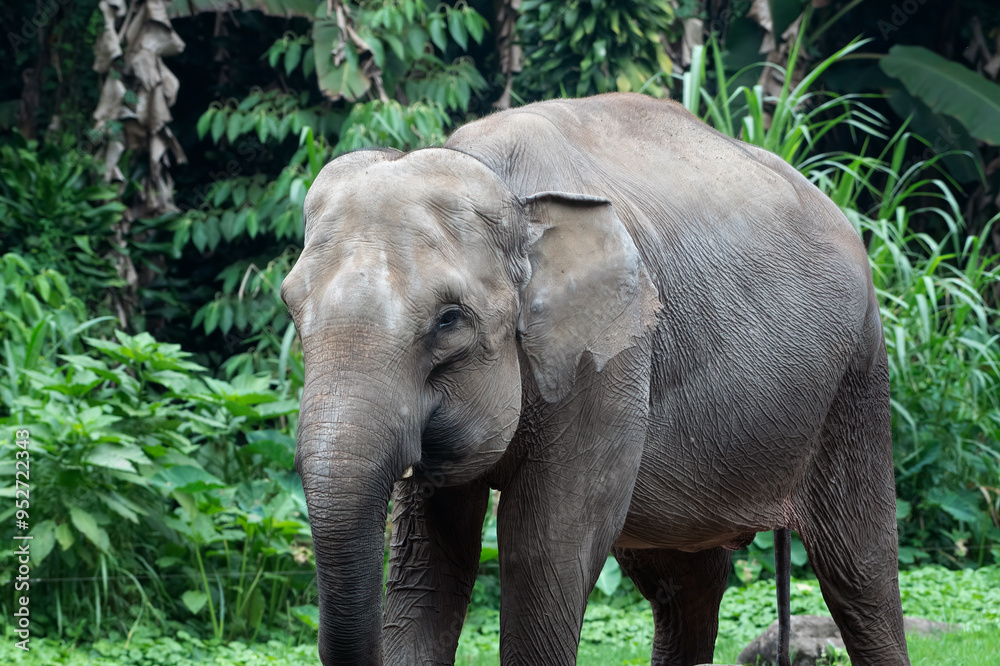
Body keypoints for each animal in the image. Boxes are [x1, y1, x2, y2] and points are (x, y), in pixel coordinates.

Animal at [280, 93, 909, 666]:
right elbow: (427, 560)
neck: (509, 189)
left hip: (857, 375)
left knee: (859, 573)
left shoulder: (609, 360)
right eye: (290, 305)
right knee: (684, 581)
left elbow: (544, 551)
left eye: (449, 320)